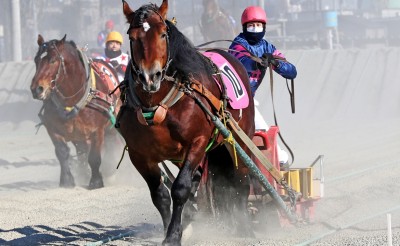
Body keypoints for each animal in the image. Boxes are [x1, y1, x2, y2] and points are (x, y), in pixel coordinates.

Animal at [30, 33, 121, 189]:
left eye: (53, 60)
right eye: (36, 60)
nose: (36, 89)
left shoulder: (97, 130)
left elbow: (95, 156)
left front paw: (96, 181)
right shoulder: (53, 128)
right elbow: (62, 152)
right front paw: (67, 180)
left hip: (111, 127)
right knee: (82, 152)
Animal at [119, 0, 255, 244]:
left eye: (163, 34)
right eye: (132, 37)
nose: (149, 77)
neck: (158, 104)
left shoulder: (198, 142)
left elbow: (181, 188)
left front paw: (174, 235)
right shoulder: (139, 154)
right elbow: (160, 195)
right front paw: (170, 229)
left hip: (238, 140)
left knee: (240, 179)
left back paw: (244, 226)